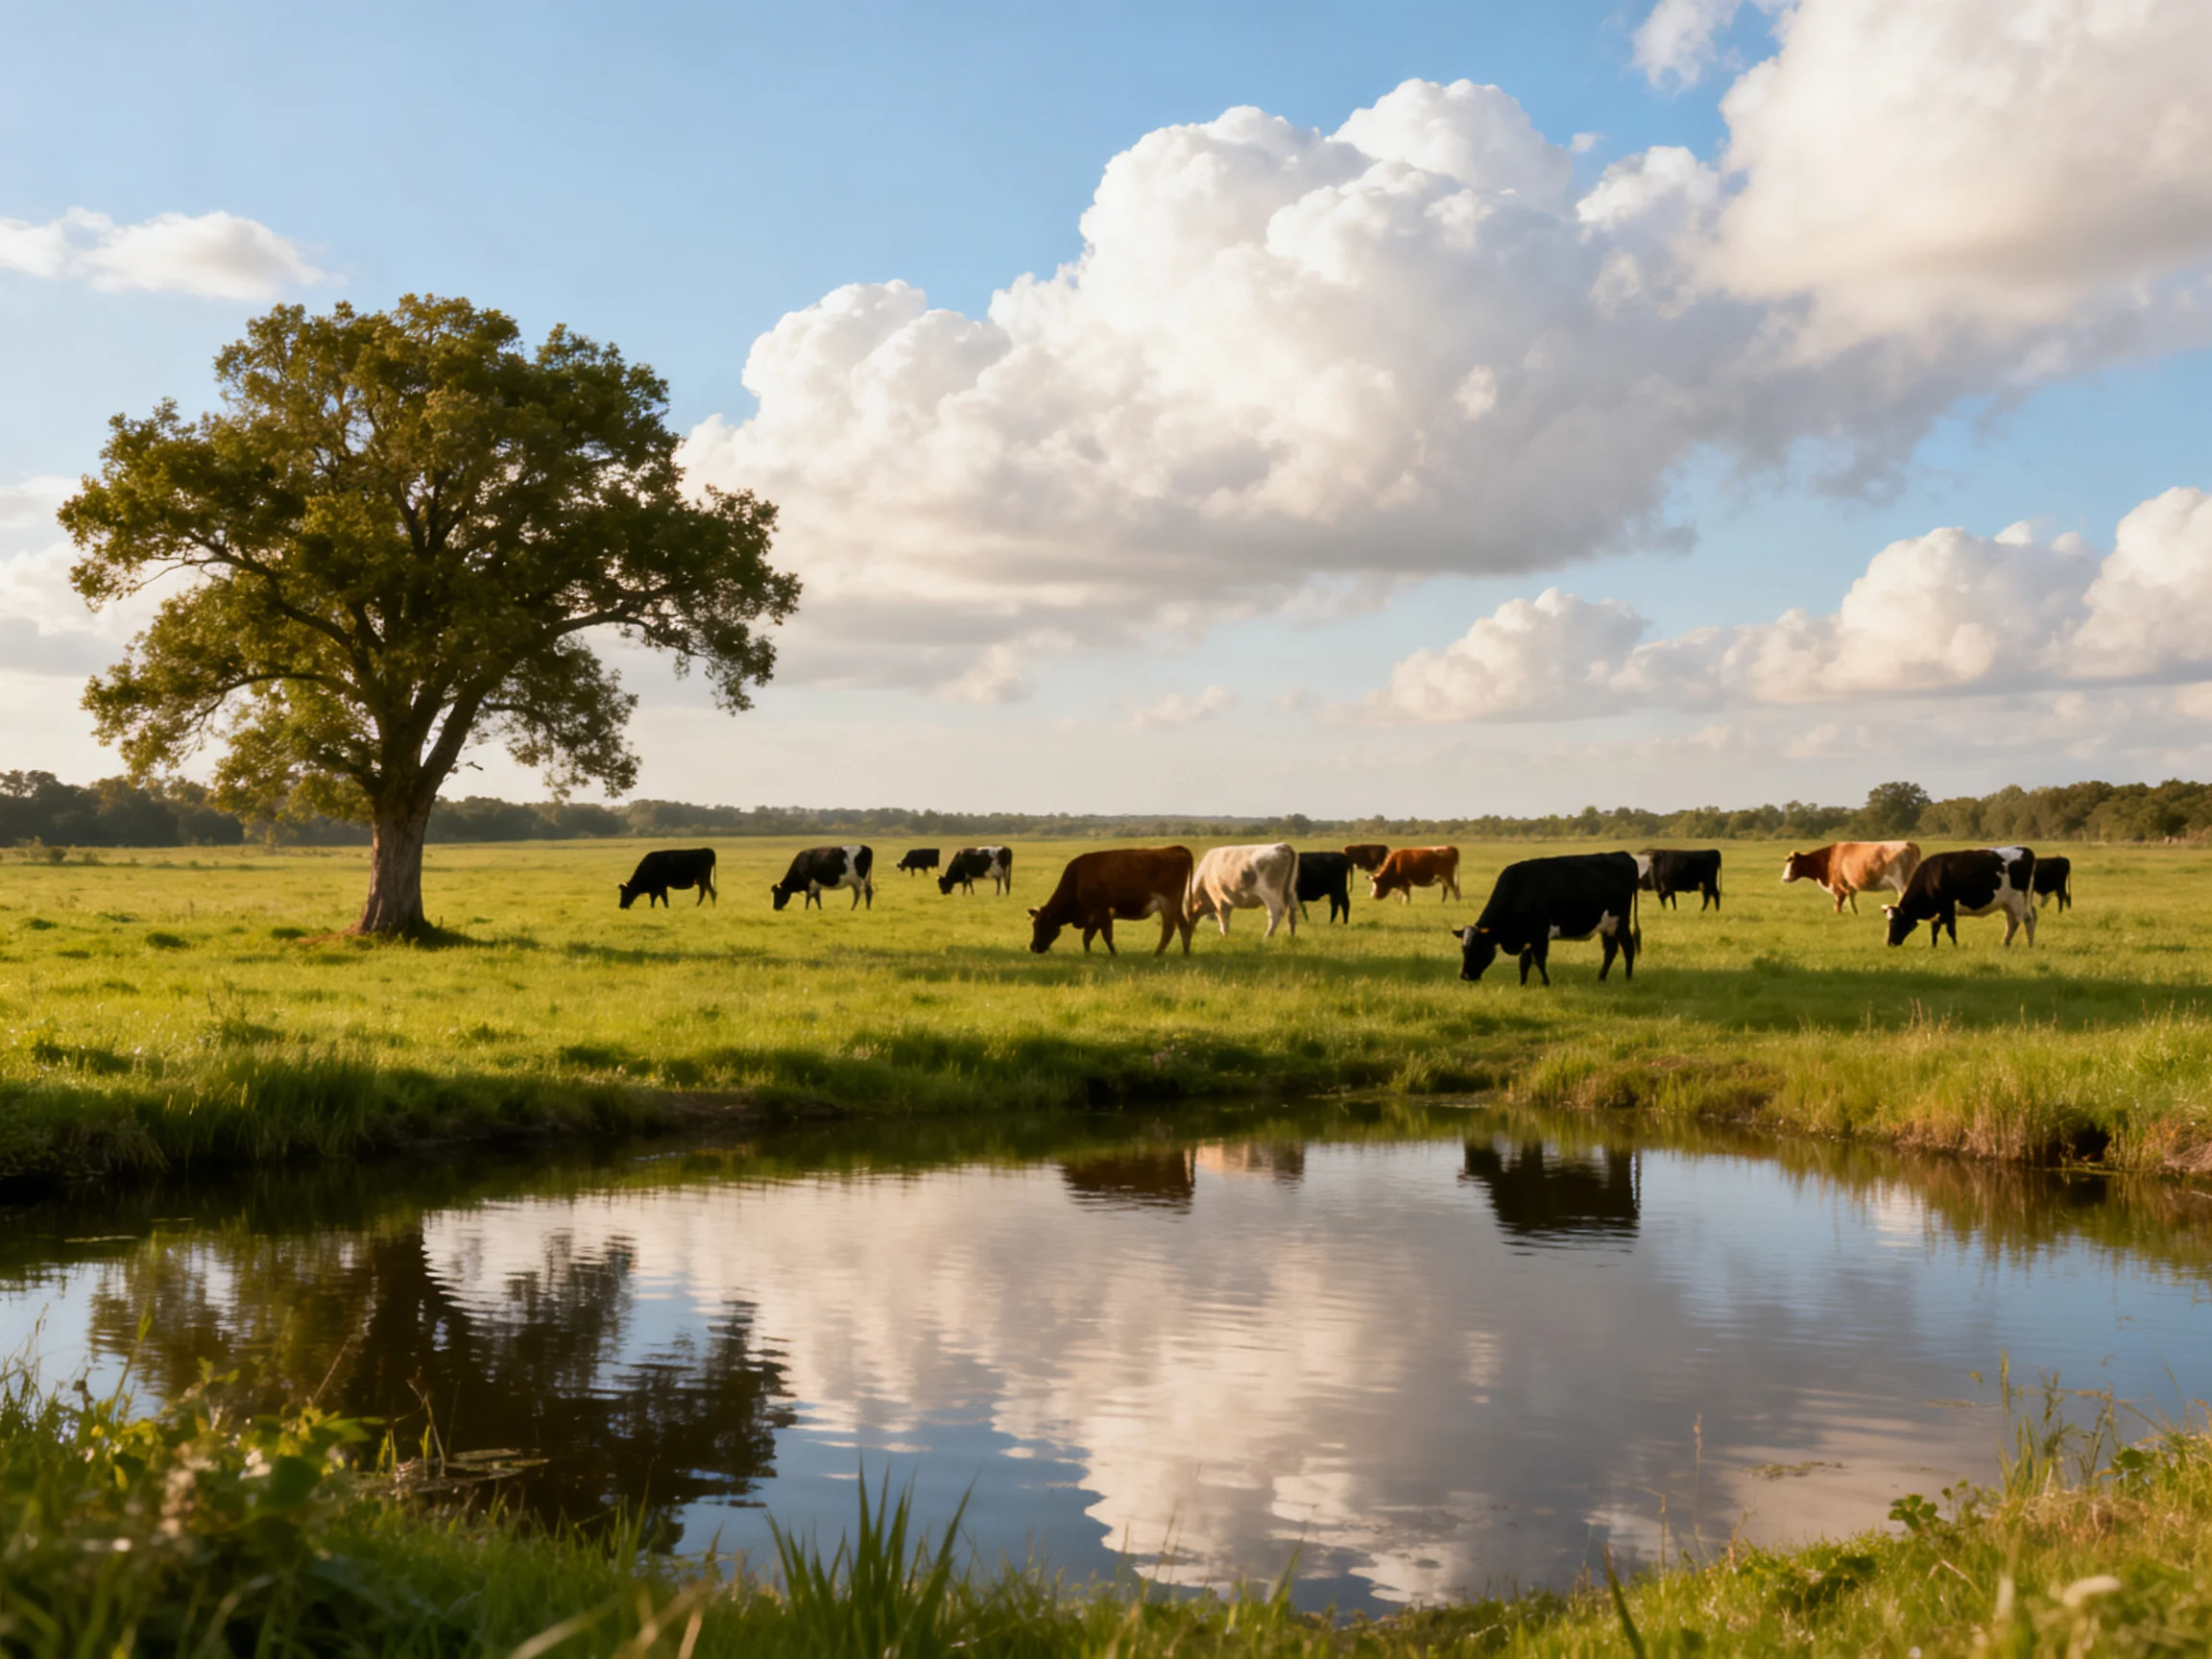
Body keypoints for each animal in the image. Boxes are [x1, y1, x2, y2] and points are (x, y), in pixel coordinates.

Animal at [1029, 847, 1196, 956]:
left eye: (1040, 925)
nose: (1033, 947)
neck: (1077, 878)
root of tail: (1175, 848)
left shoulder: (1100, 912)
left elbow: (1104, 935)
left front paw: (1113, 954)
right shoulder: (1096, 917)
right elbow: (1087, 936)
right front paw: (1088, 954)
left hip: (1168, 903)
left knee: (1171, 927)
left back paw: (1159, 954)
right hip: (1172, 906)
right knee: (1182, 924)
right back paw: (1184, 953)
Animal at [1452, 852, 1640, 986]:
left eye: (1478, 947)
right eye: (1463, 949)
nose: (1464, 975)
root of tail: (1623, 855)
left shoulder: (1540, 934)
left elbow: (1538, 959)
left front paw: (1546, 982)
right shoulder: (1527, 935)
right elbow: (1524, 961)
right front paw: (1522, 983)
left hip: (1620, 922)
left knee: (1628, 946)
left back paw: (1628, 978)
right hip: (1607, 926)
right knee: (1610, 950)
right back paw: (1601, 978)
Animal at [1781, 841, 1922, 914]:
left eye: (1793, 864)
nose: (1784, 878)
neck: (1829, 859)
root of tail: (1908, 844)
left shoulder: (1839, 888)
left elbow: (1838, 905)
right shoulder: (1849, 888)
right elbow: (1852, 902)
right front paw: (1856, 913)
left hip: (1900, 882)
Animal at [1883, 847, 2036, 948]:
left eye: (1895, 922)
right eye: (1888, 921)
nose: (1889, 943)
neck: (1930, 877)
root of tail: (2025, 850)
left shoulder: (1948, 908)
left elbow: (1950, 930)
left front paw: (1955, 946)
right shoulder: (1939, 910)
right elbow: (1935, 928)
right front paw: (1933, 946)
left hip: (2018, 899)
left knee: (2027, 919)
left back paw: (2030, 945)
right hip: (2008, 902)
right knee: (2012, 922)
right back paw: (2005, 944)